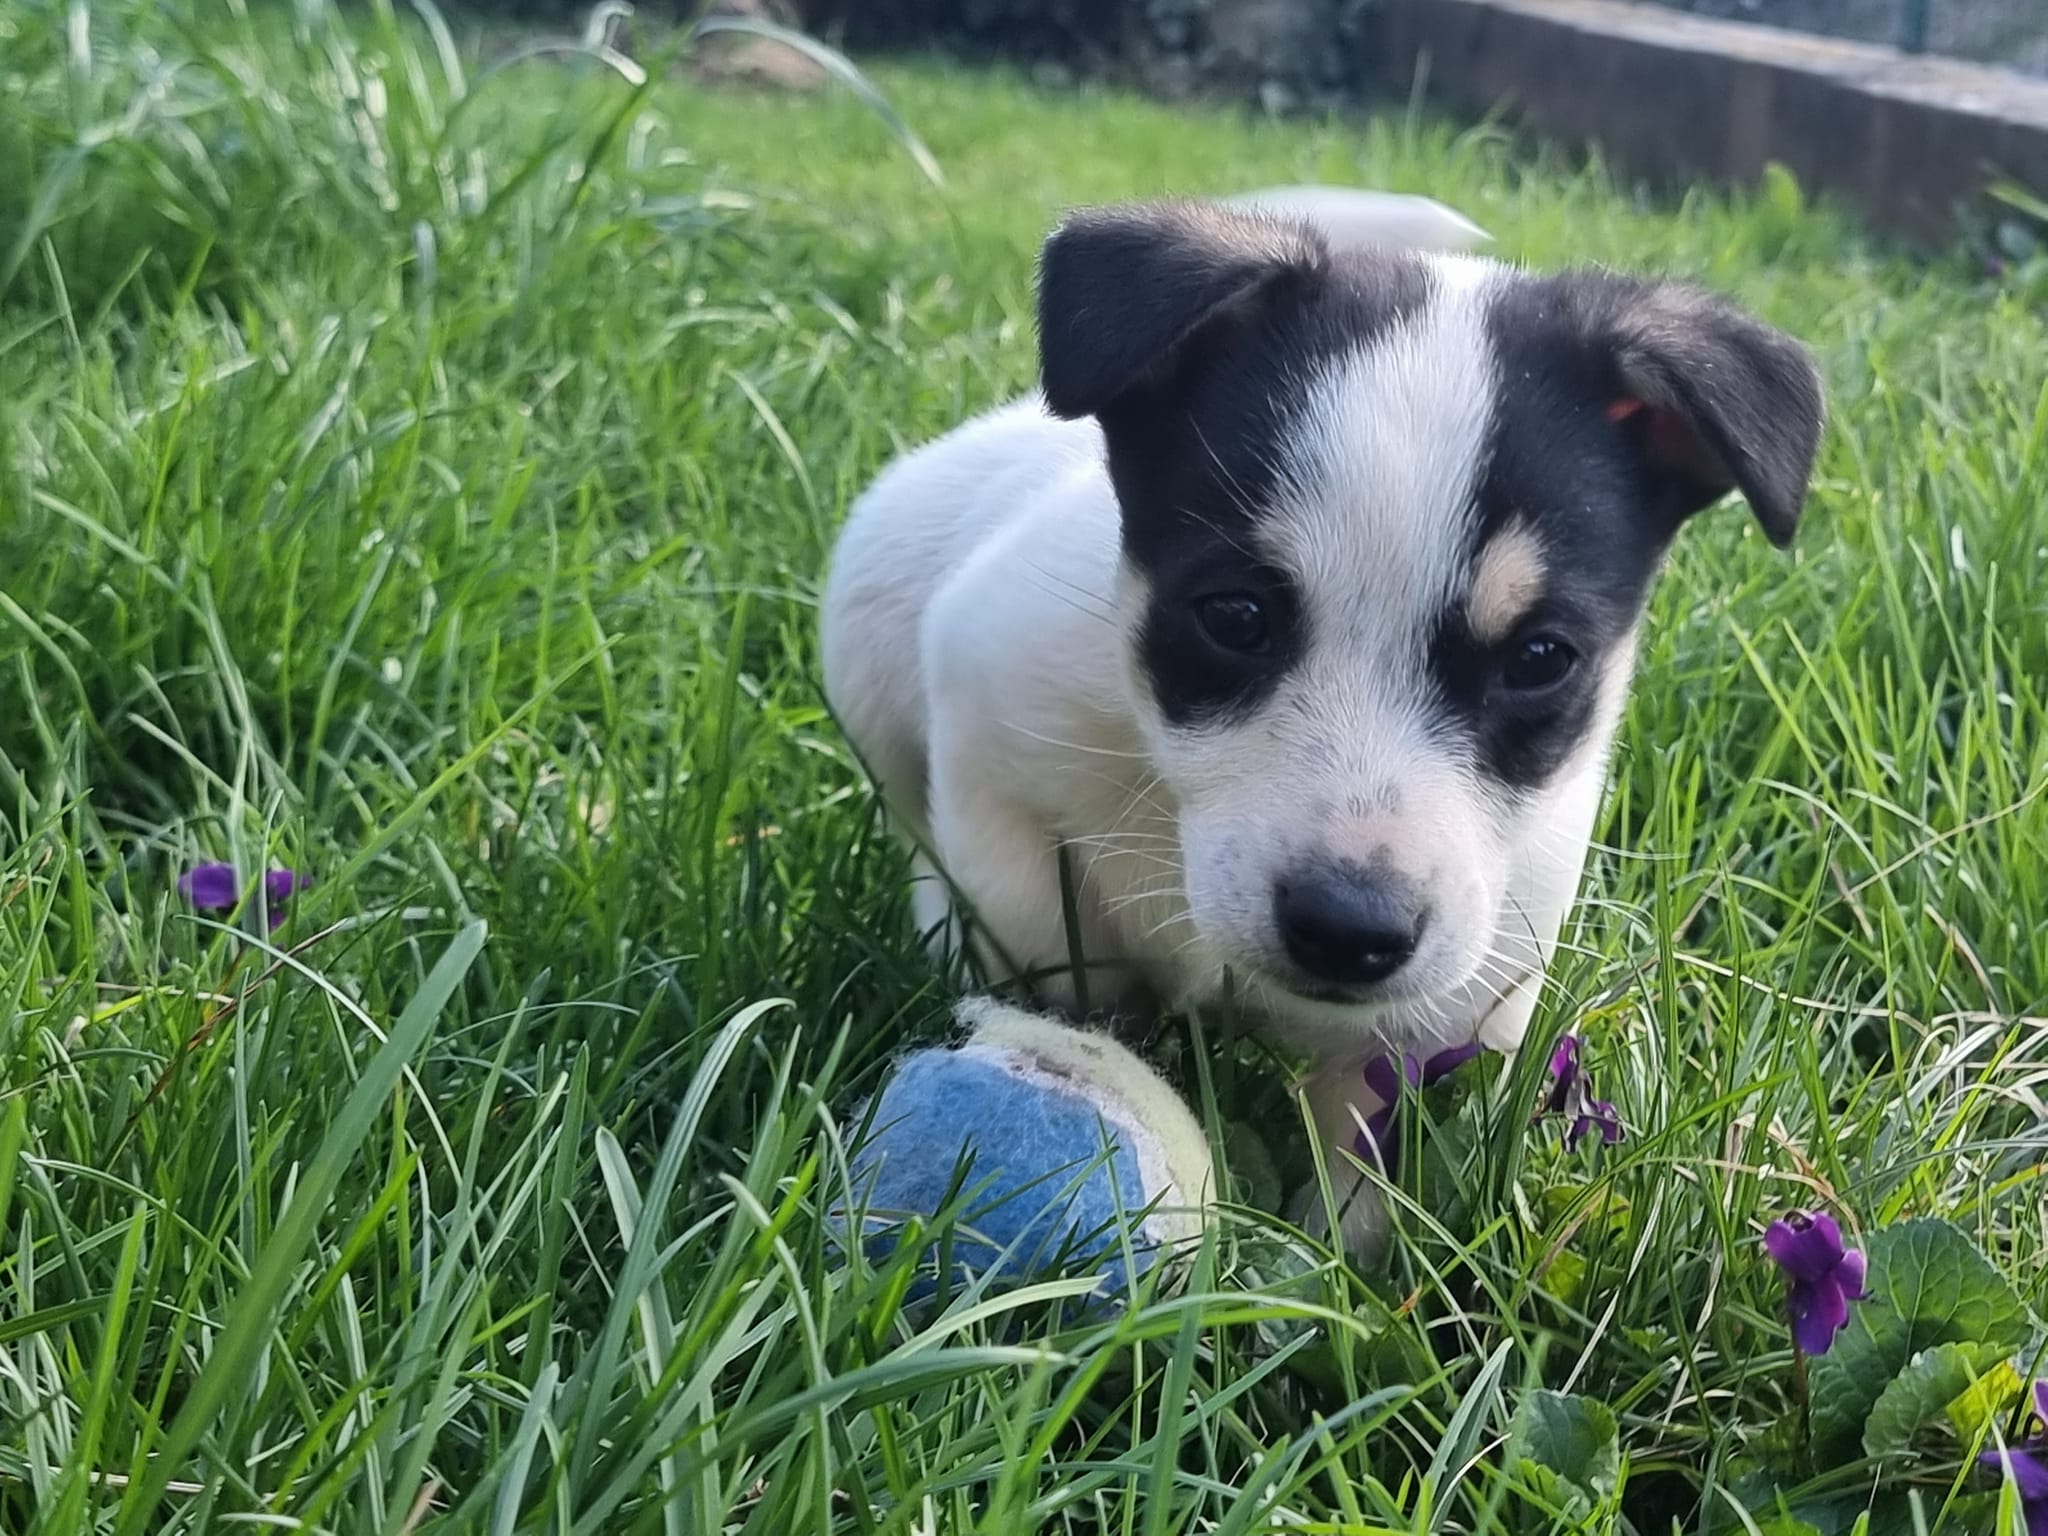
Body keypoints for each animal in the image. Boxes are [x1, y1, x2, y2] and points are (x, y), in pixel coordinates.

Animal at [819, 192, 1826, 1253]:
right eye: (1234, 616)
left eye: (1541, 658)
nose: (1349, 933)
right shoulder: (992, 727)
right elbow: (1040, 929)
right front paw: (1085, 1034)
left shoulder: (1467, 980)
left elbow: (1362, 1176)